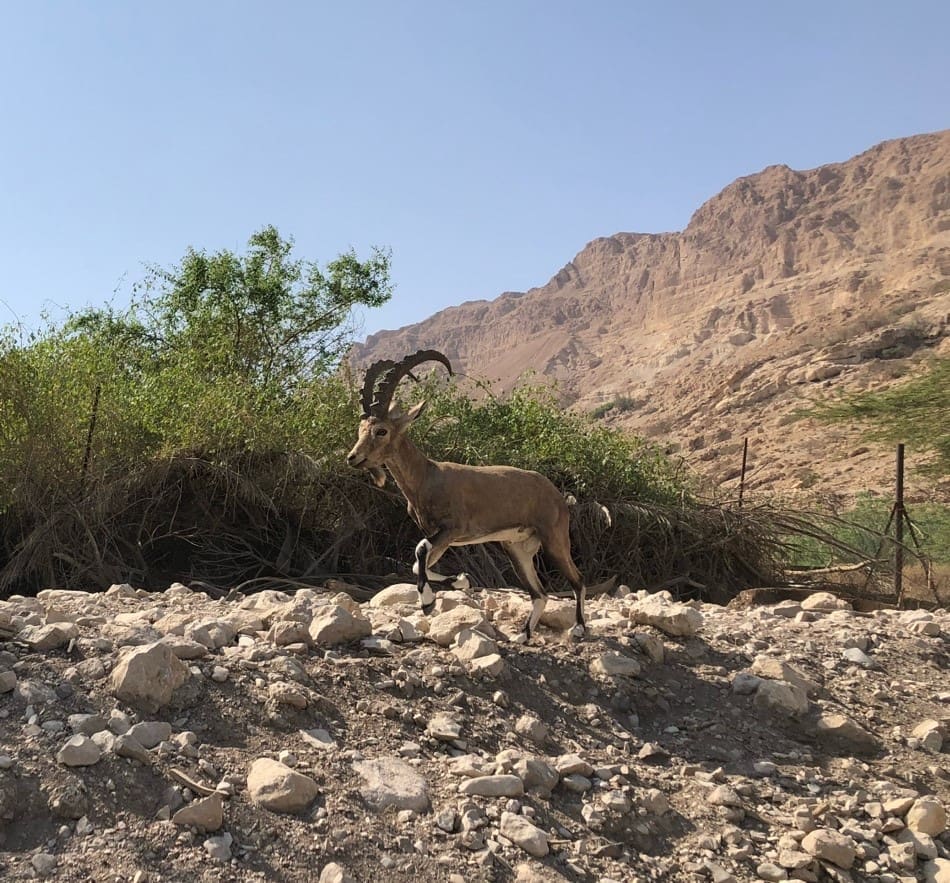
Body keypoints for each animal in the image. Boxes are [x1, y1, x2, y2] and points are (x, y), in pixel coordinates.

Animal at [346, 348, 592, 644]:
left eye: (381, 430)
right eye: (360, 430)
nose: (353, 458)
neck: (426, 477)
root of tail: (556, 494)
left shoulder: (453, 529)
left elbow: (420, 550)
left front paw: (427, 602)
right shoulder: (442, 537)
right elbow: (419, 564)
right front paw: (459, 580)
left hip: (554, 538)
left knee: (577, 579)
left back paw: (578, 628)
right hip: (517, 548)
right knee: (540, 593)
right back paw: (523, 635)